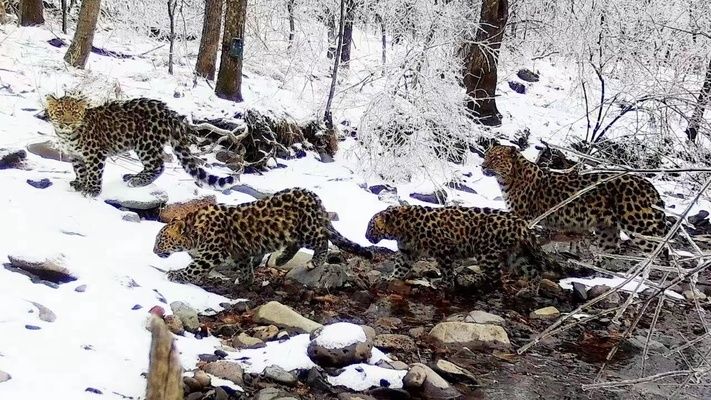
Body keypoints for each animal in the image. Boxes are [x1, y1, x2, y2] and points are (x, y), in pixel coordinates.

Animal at [44, 95, 236, 198]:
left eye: (74, 113)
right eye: (60, 112)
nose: (66, 123)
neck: (67, 136)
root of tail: (169, 112)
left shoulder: (96, 154)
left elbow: (94, 173)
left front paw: (92, 189)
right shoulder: (75, 156)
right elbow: (80, 170)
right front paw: (79, 183)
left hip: (146, 143)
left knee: (158, 165)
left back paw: (137, 180)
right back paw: (132, 176)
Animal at [154, 188, 376, 284]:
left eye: (160, 240)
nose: (154, 250)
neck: (195, 231)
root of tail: (316, 199)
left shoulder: (212, 253)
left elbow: (194, 267)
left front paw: (177, 275)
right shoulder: (240, 251)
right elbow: (245, 264)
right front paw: (246, 279)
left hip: (307, 229)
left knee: (323, 239)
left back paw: (314, 262)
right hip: (292, 231)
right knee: (295, 244)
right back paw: (282, 259)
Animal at [364, 206, 576, 288]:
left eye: (370, 226)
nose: (365, 235)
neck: (401, 228)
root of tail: (521, 223)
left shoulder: (444, 248)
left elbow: (446, 269)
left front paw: (445, 283)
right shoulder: (407, 252)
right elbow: (400, 267)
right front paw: (391, 278)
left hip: (486, 253)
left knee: (495, 275)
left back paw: (473, 280)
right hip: (515, 255)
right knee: (533, 271)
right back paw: (528, 291)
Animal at [484, 145, 668, 255]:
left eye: (497, 158)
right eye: (486, 155)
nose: (483, 165)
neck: (506, 180)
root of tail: (650, 185)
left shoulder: (522, 216)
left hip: (639, 226)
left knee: (658, 250)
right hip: (607, 230)